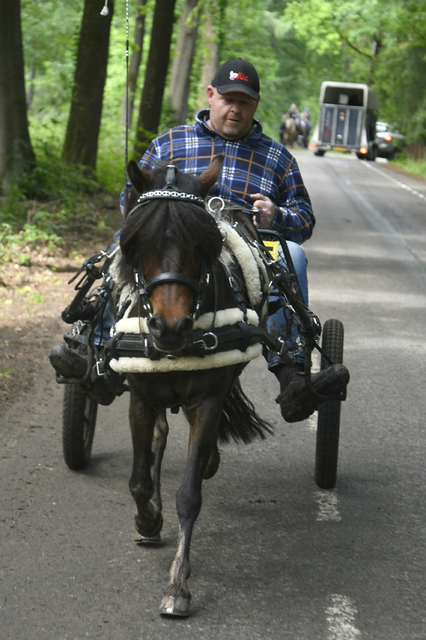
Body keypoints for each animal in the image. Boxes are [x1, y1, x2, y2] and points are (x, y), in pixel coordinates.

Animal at [105, 154, 276, 616]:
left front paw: (177, 584)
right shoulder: (141, 398)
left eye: (203, 245)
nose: (170, 327)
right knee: (160, 438)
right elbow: (139, 479)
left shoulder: (209, 399)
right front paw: (147, 519)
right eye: (135, 243)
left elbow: (190, 492)